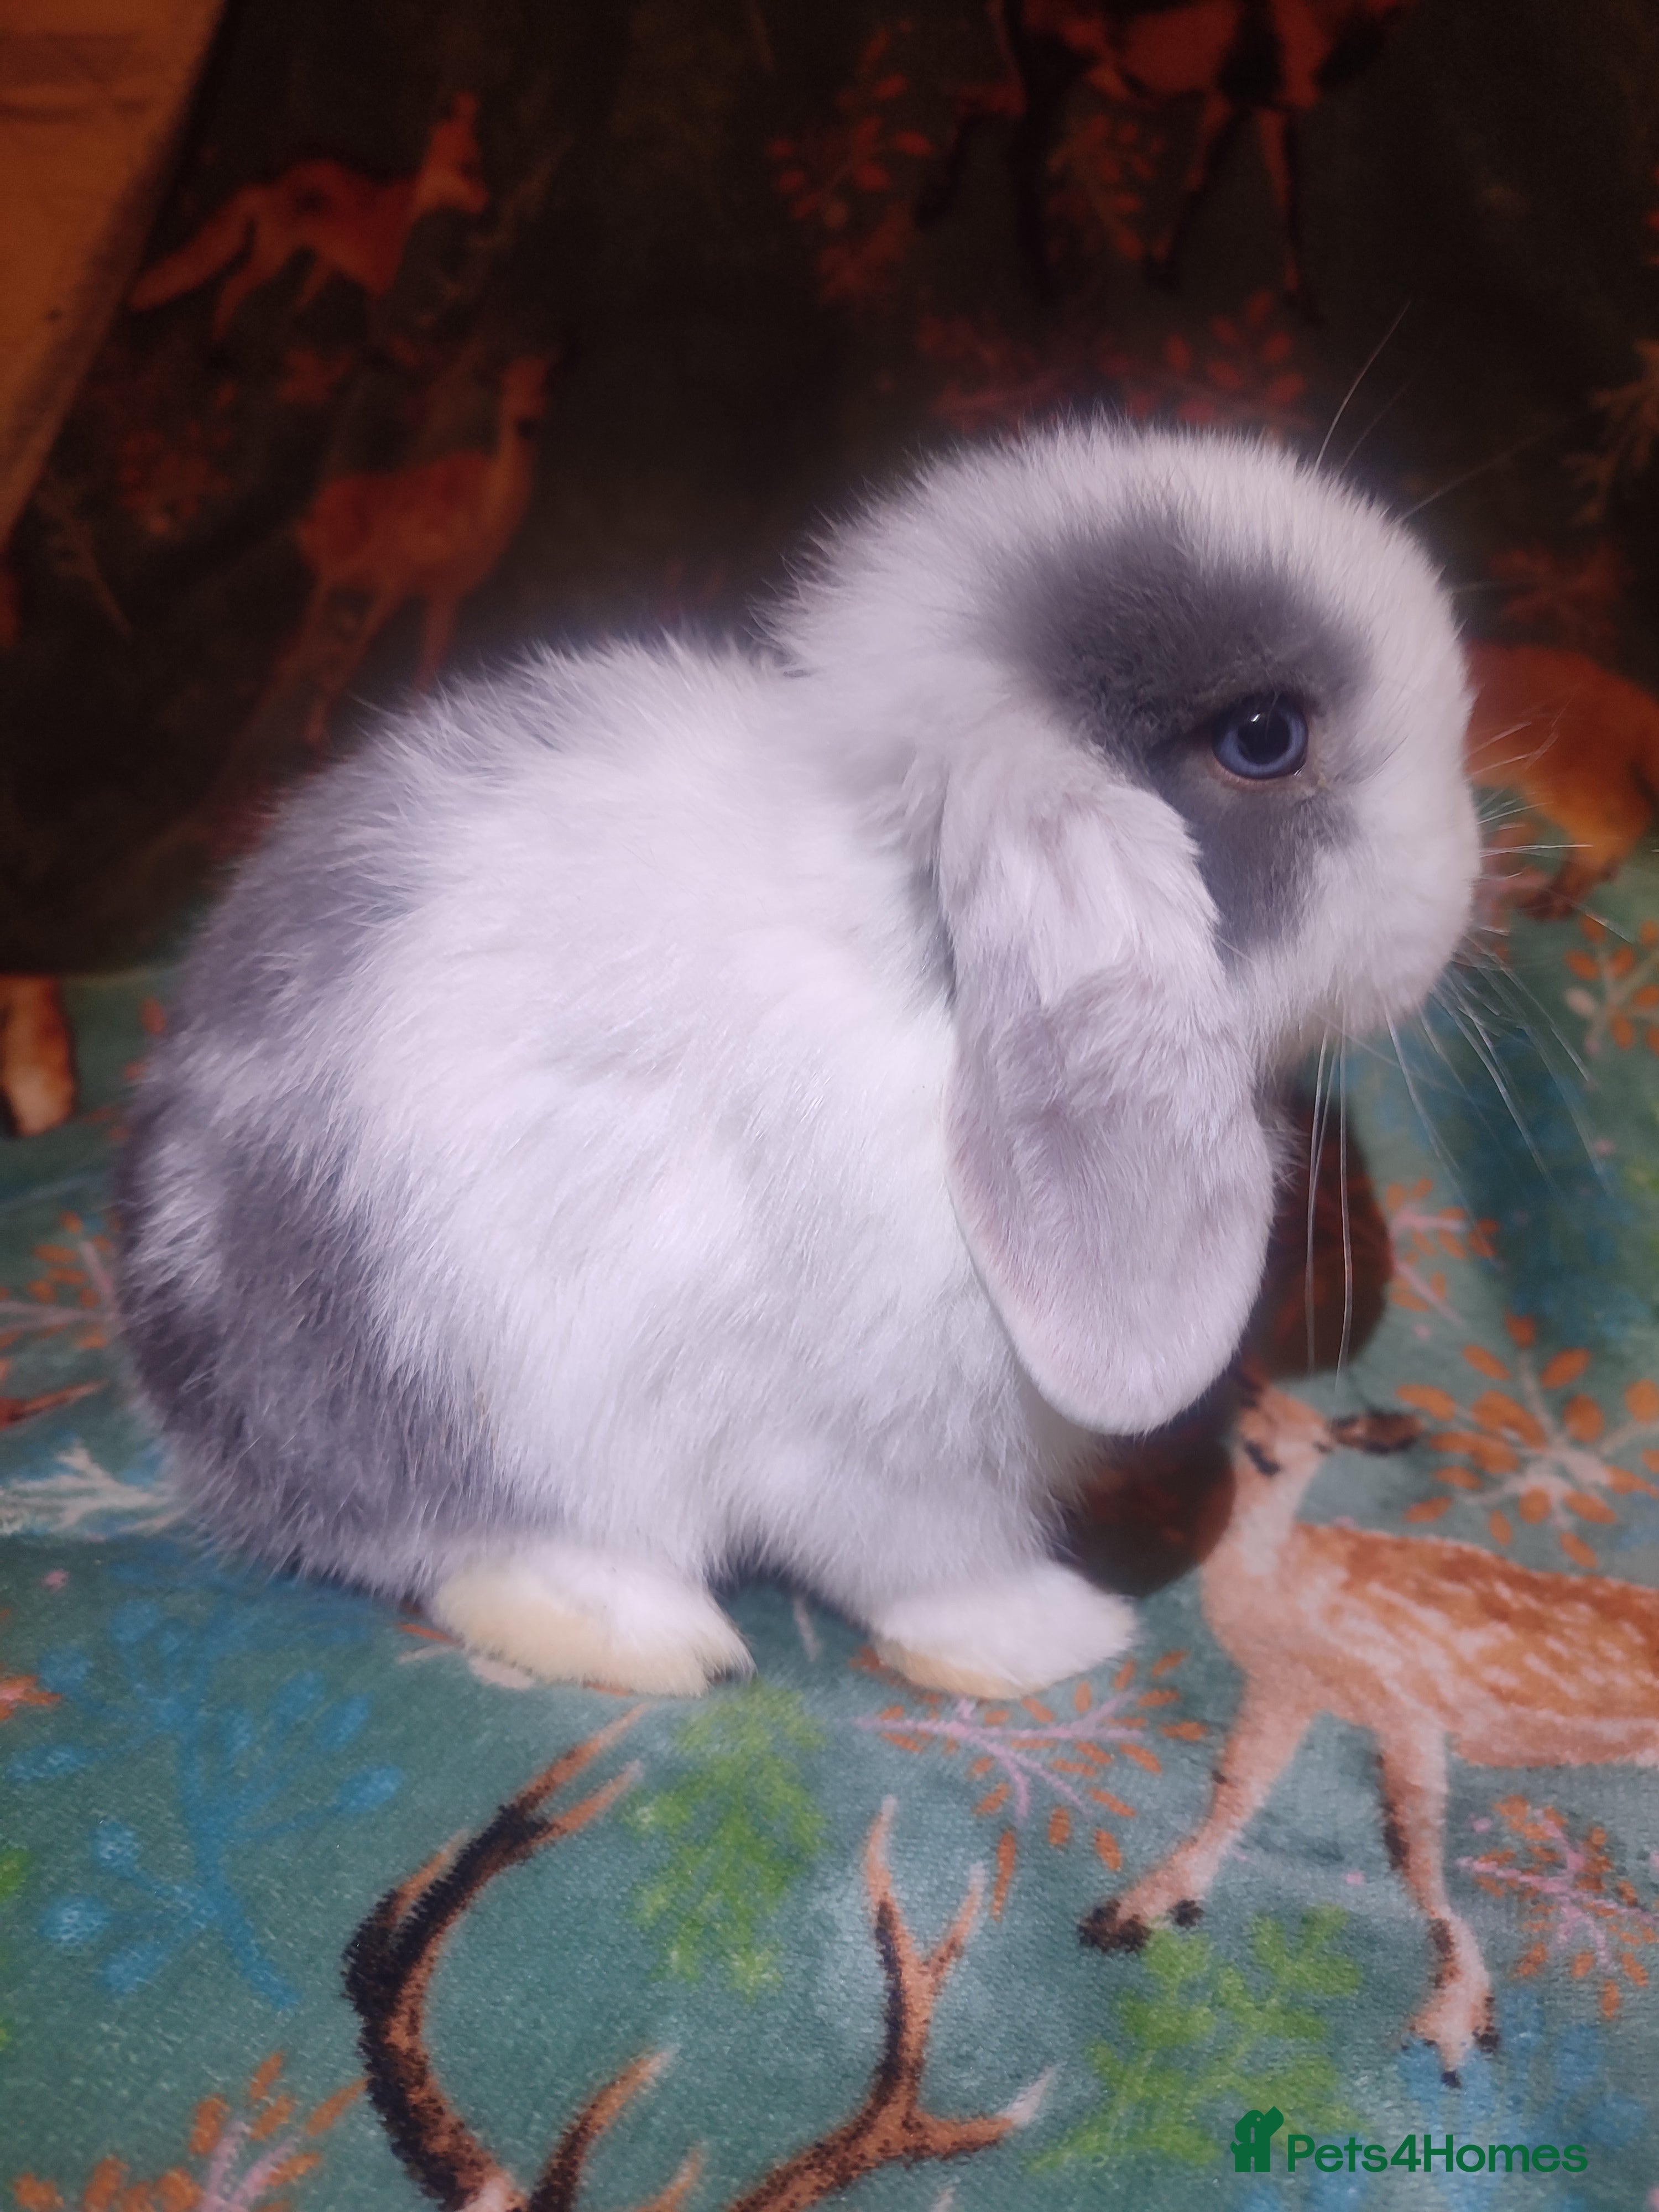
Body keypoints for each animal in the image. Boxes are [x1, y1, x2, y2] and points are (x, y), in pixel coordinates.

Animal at [116, 422, 1479, 1699]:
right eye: (1265, 736)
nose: (1467, 880)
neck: (925, 970)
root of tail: (189, 1390)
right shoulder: (881, 1450)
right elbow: (930, 1561)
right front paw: (1052, 1640)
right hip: (482, 1396)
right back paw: (657, 1642)